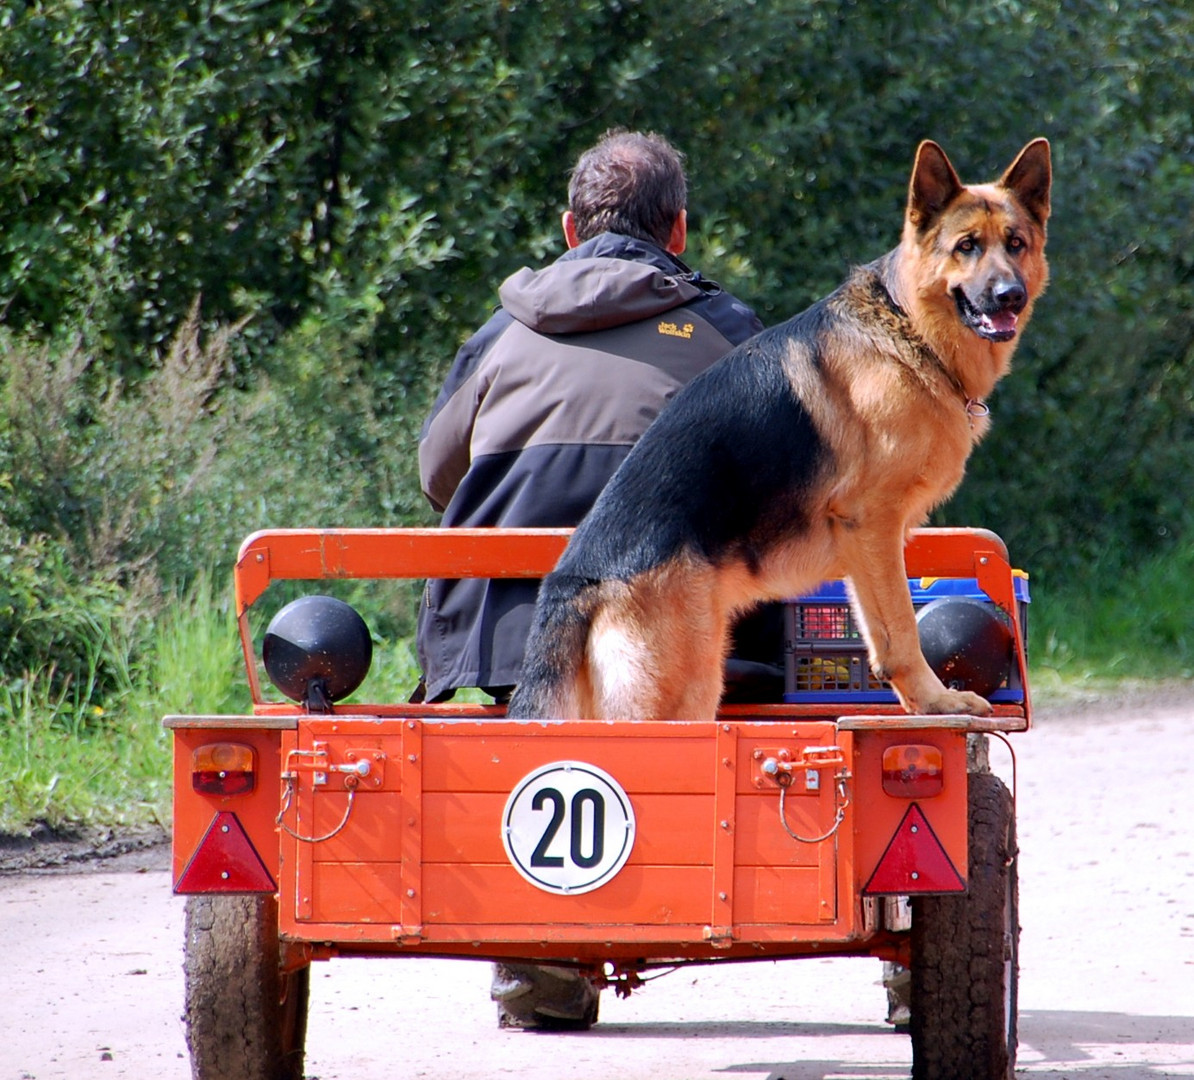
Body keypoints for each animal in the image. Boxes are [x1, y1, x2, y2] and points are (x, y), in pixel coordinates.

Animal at [508, 139, 1050, 720]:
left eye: (1015, 244)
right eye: (966, 246)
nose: (1009, 295)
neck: (908, 327)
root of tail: (574, 581)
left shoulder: (865, 552)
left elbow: (879, 635)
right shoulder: (874, 526)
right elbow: (902, 631)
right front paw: (935, 704)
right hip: (681, 700)